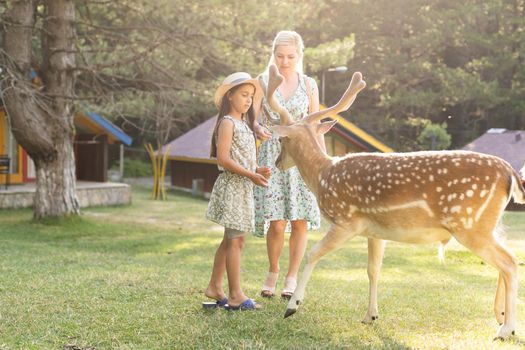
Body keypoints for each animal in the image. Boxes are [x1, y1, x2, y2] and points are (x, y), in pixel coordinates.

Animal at [260, 63, 520, 340]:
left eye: (281, 139)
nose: (277, 162)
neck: (323, 176)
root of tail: (510, 173)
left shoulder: (346, 220)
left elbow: (312, 254)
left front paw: (292, 306)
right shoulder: (375, 231)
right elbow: (373, 270)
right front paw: (370, 316)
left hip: (470, 224)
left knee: (509, 262)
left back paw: (506, 329)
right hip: (487, 224)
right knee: (507, 260)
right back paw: (501, 317)